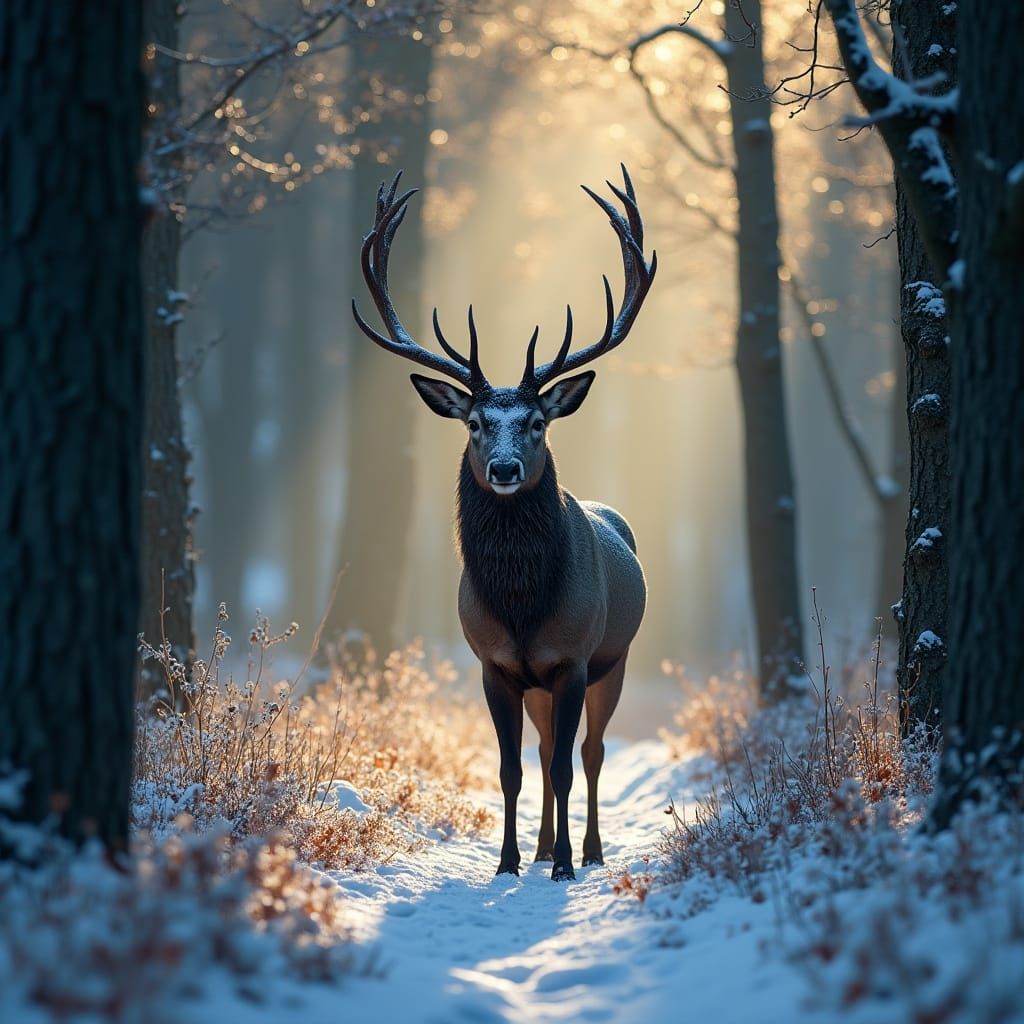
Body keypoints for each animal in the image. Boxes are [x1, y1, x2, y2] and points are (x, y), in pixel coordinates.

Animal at [352, 166, 656, 881]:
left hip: (616, 659)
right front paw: (510, 862)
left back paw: (590, 850)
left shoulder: (573, 657)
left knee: (590, 755)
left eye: (537, 421)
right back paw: (544, 846)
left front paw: (566, 864)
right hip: (541, 684)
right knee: (544, 753)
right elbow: (511, 770)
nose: (507, 467)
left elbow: (570, 767)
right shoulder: (494, 664)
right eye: (474, 422)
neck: (521, 605)